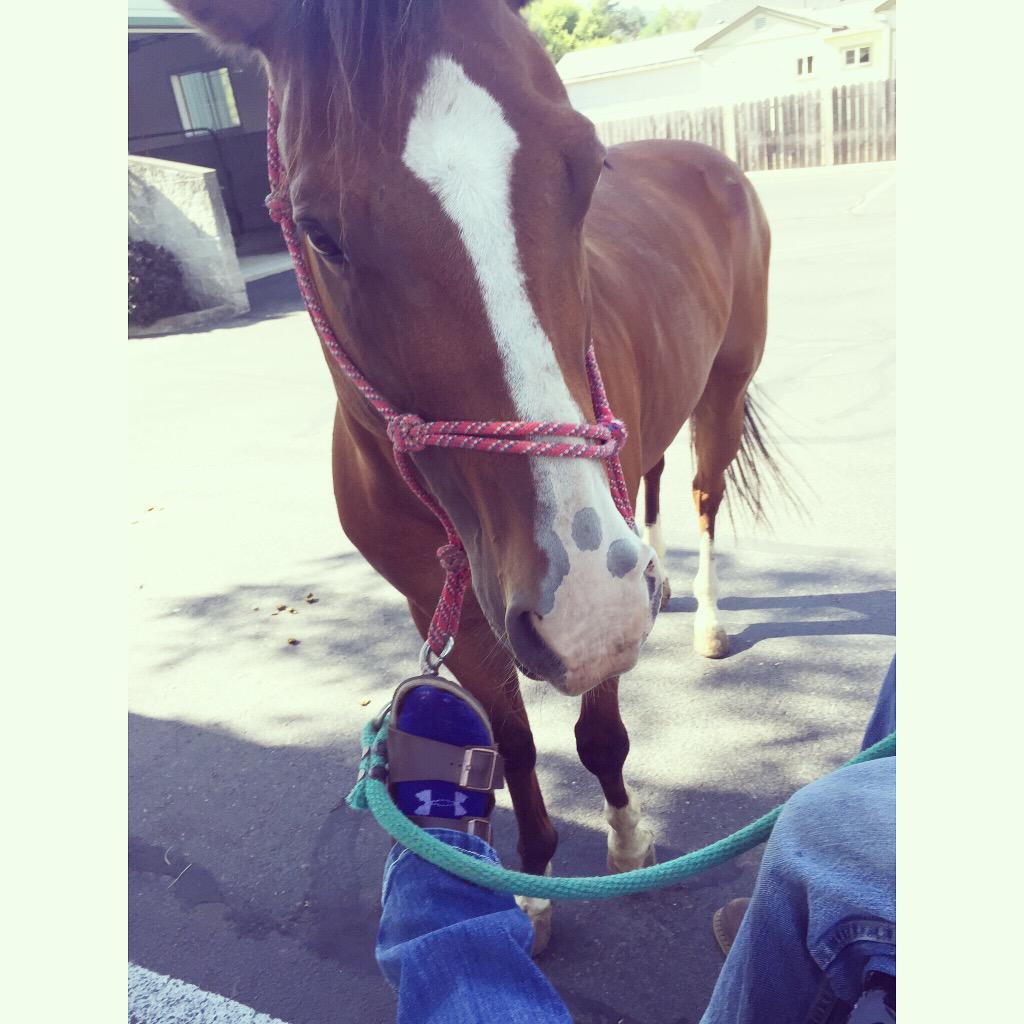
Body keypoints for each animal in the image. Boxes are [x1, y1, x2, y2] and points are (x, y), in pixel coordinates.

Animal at [169, 0, 782, 953]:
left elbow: (601, 737)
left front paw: (626, 837)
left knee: (703, 498)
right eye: (318, 231)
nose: (593, 601)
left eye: (587, 168)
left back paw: (707, 617)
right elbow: (514, 746)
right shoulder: (447, 606)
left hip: (725, 386)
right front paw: (529, 889)